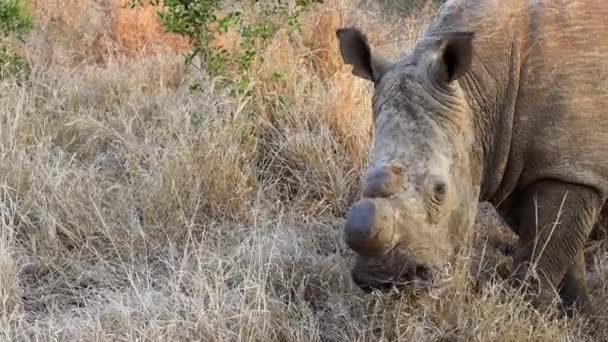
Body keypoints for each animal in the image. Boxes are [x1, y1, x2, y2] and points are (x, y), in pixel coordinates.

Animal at [340, 0, 604, 314]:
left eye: (440, 190)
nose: (381, 278)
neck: (480, 88)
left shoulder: (569, 171)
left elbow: (544, 251)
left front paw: (526, 309)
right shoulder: (517, 165)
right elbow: (561, 249)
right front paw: (577, 313)